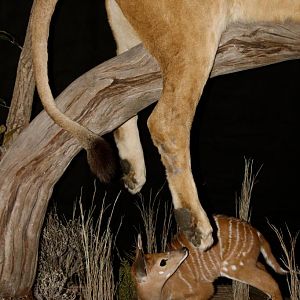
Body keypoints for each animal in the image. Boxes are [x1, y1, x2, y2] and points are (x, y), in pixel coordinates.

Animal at [132, 216, 286, 300]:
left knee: (272, 284)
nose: (184, 250)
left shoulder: (204, 289)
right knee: (265, 269)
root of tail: (257, 233)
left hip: (236, 268)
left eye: (162, 262)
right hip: (249, 262)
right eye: (161, 257)